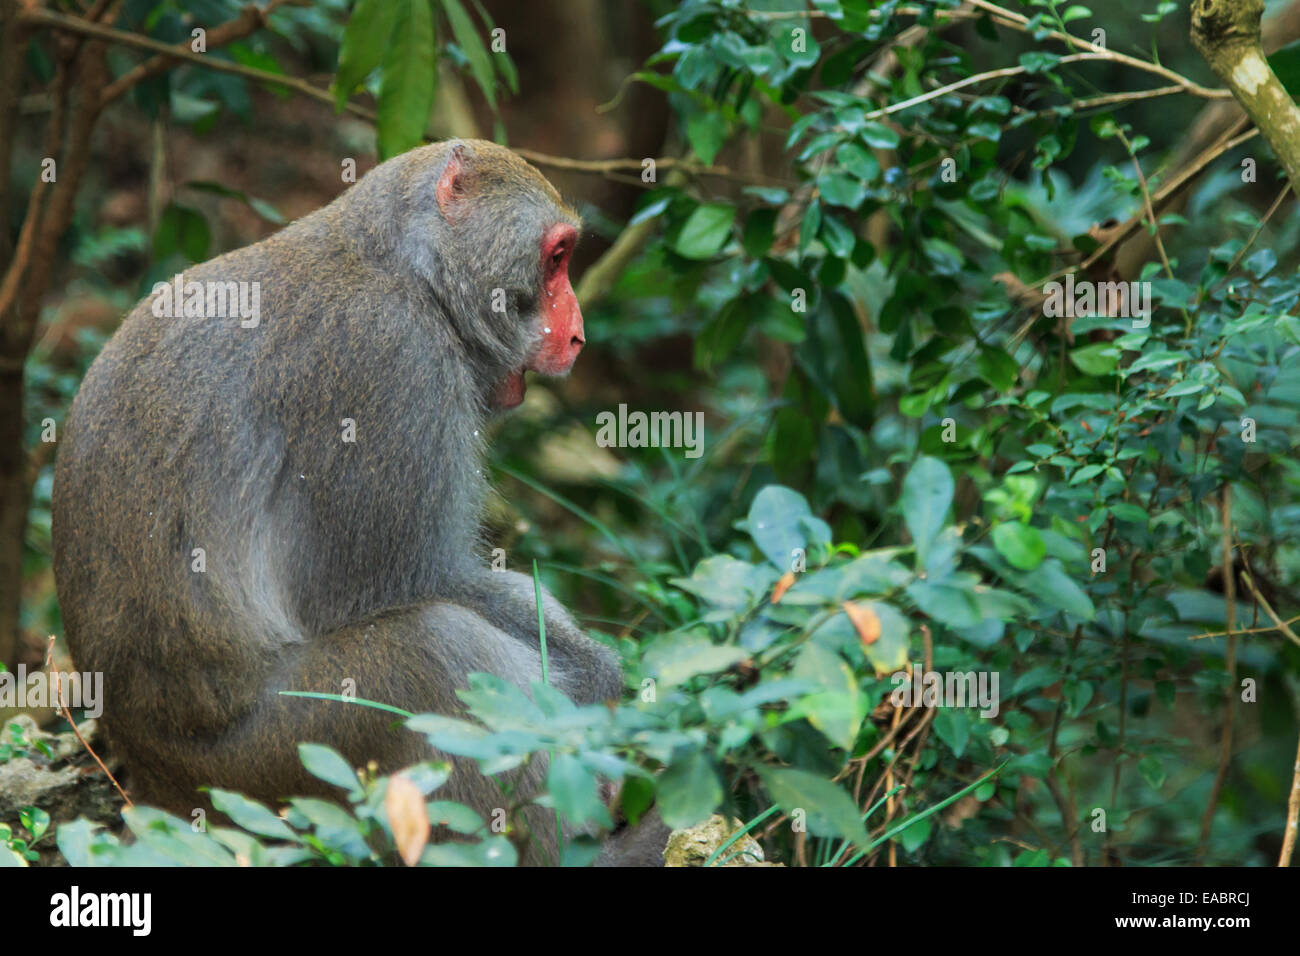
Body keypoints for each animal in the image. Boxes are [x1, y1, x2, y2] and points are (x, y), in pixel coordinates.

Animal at [52, 136, 665, 868]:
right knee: (440, 650)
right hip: (274, 765)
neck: (403, 268)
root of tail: (152, 780)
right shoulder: (392, 363)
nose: (577, 336)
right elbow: (385, 586)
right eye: (557, 257)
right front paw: (599, 680)